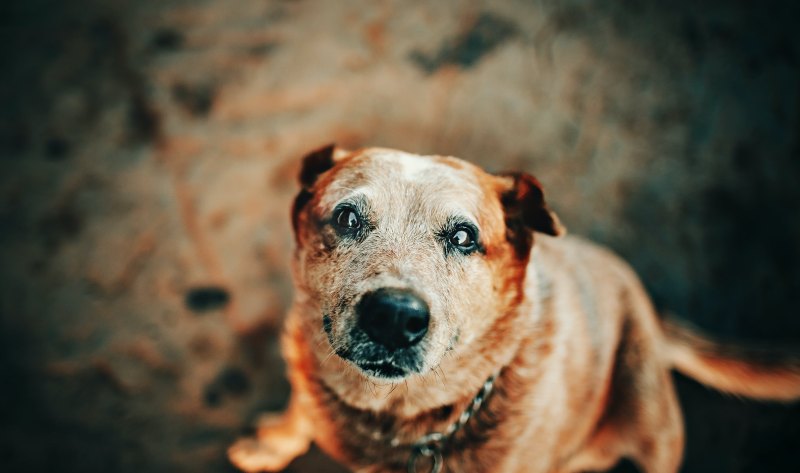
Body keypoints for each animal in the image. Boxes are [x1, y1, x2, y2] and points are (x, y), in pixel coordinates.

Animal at [227, 146, 800, 470]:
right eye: (347, 218)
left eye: (463, 236)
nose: (393, 317)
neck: (402, 420)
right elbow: (298, 415)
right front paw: (270, 445)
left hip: (650, 416)